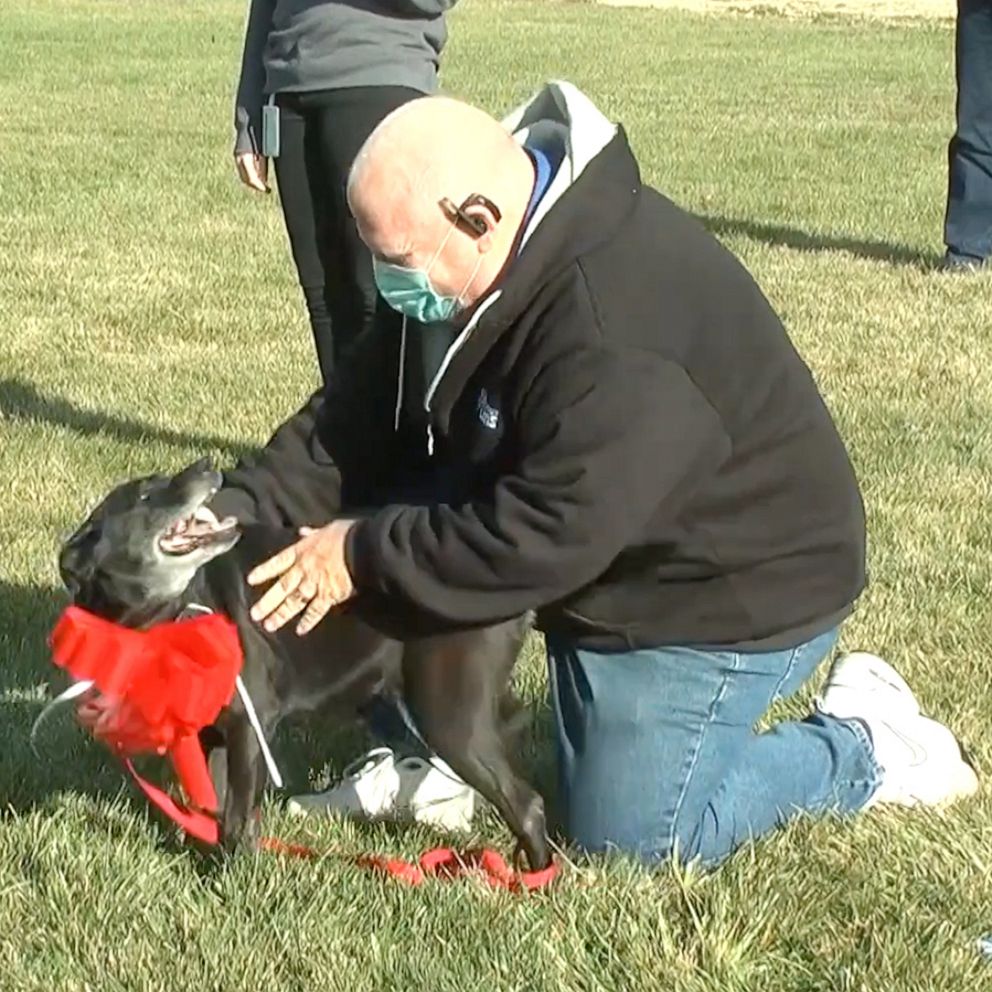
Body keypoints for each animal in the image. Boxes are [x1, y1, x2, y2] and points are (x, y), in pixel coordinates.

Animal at [56, 458, 552, 868]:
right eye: (144, 495)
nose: (207, 465)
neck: (170, 616)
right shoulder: (205, 730)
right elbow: (210, 806)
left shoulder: (250, 723)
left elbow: (239, 816)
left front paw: (233, 879)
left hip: (449, 715)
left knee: (527, 805)